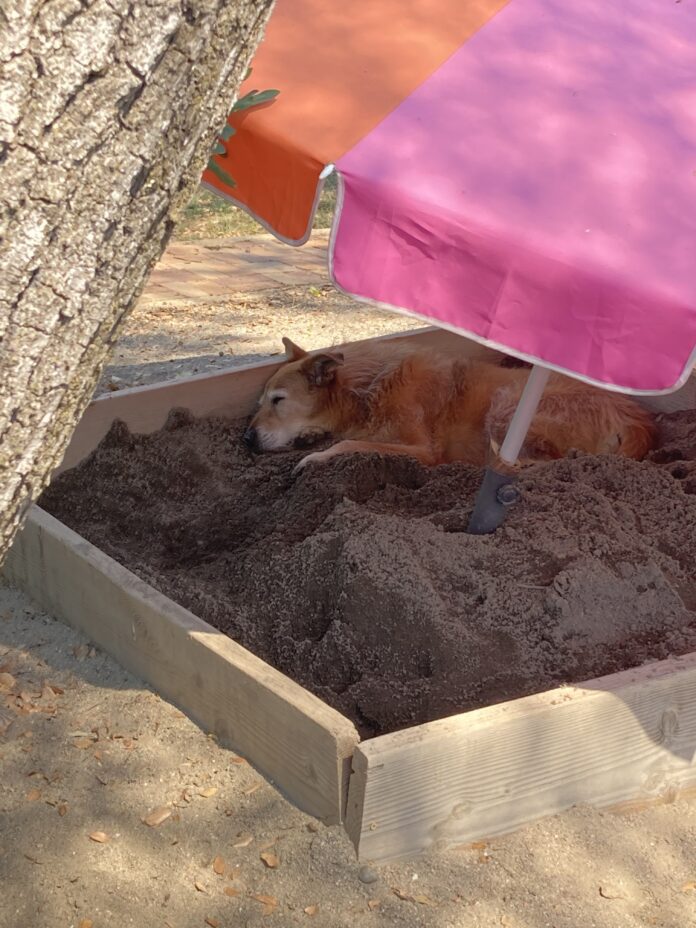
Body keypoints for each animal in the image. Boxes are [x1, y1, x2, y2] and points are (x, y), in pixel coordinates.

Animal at [246, 338, 656, 472]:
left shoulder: (423, 449)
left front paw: (315, 457)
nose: (246, 440)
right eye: (261, 401)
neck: (367, 389)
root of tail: (638, 419)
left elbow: (349, 443)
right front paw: (310, 438)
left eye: (278, 401)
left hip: (507, 407)